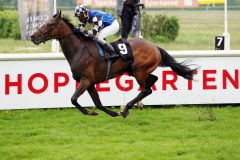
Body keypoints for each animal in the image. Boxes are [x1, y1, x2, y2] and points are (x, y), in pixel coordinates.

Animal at [31, 10, 196, 117]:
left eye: (49, 24)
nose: (33, 36)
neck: (80, 50)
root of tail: (155, 47)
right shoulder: (90, 82)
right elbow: (97, 103)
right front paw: (100, 112)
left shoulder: (86, 80)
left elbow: (73, 99)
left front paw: (94, 111)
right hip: (134, 71)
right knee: (152, 82)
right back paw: (129, 107)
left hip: (138, 71)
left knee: (146, 89)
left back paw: (126, 108)